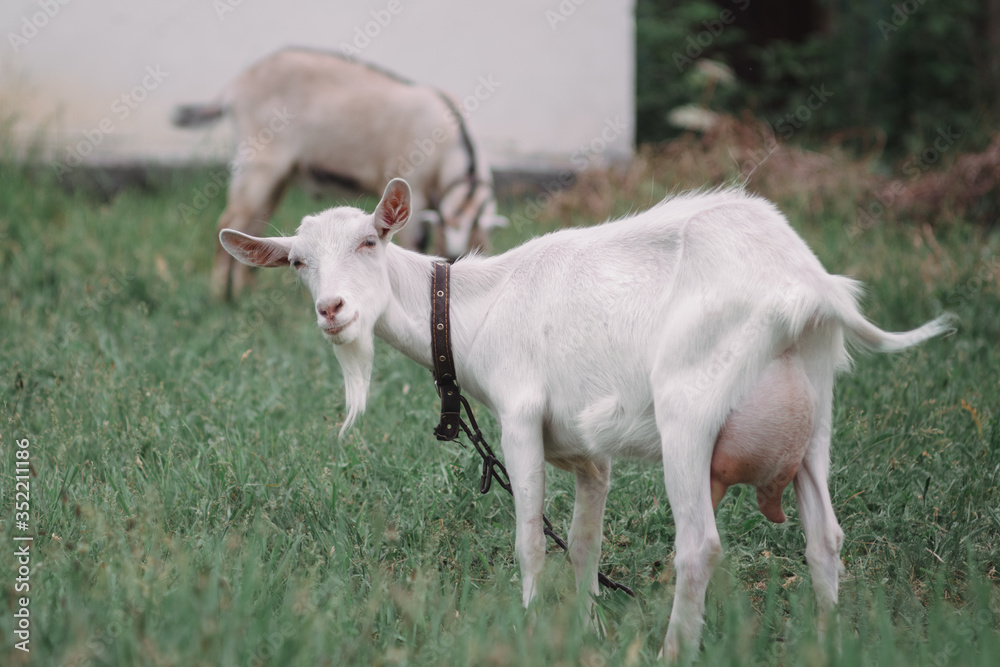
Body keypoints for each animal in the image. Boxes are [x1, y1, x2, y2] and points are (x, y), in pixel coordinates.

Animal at [173, 47, 508, 298]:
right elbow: (414, 244)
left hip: (278, 177)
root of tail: (235, 86)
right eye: (448, 258)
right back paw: (220, 297)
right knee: (230, 219)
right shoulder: (412, 183)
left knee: (254, 222)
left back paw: (245, 293)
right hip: (258, 161)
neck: (449, 140)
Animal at [219, 179, 952, 664]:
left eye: (371, 240)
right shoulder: (583, 452)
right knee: (825, 536)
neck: (473, 311)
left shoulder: (519, 419)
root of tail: (806, 284)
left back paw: (672, 650)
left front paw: (528, 627)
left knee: (699, 544)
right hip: (816, 415)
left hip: (689, 408)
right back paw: (828, 642)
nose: (333, 310)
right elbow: (583, 544)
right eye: (298, 262)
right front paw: (585, 632)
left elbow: (530, 540)